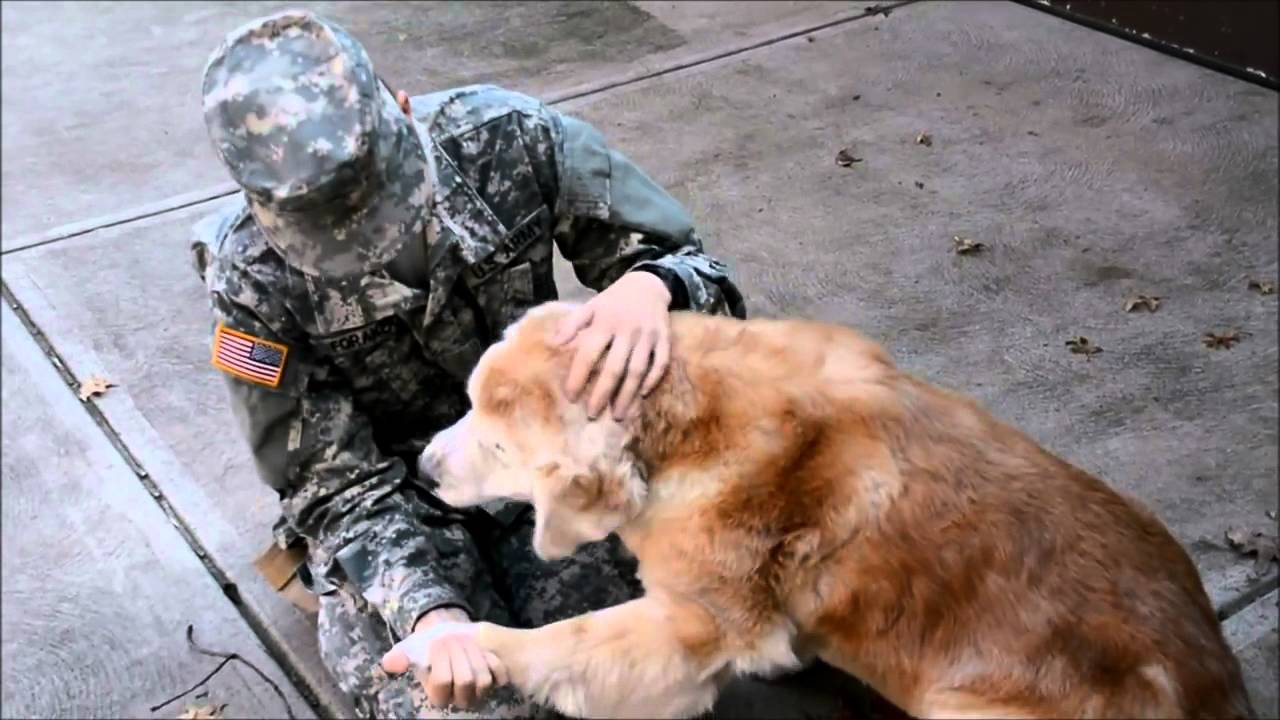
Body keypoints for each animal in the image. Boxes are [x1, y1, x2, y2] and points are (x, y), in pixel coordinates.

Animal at [407, 299, 1249, 712]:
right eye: (468, 403)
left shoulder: (696, 623)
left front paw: (458, 647)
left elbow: (567, 638)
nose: (420, 468)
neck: (688, 420)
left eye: (496, 443)